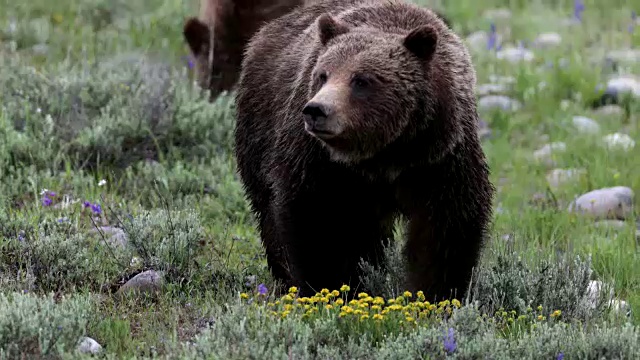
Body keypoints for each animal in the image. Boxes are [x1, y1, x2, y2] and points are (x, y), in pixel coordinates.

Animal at [232, 0, 492, 300]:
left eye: (361, 80)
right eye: (322, 75)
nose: (316, 110)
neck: (384, 153)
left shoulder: (439, 158)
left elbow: (446, 226)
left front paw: (434, 294)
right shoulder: (320, 162)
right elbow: (313, 216)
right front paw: (326, 286)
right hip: (260, 129)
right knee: (267, 208)